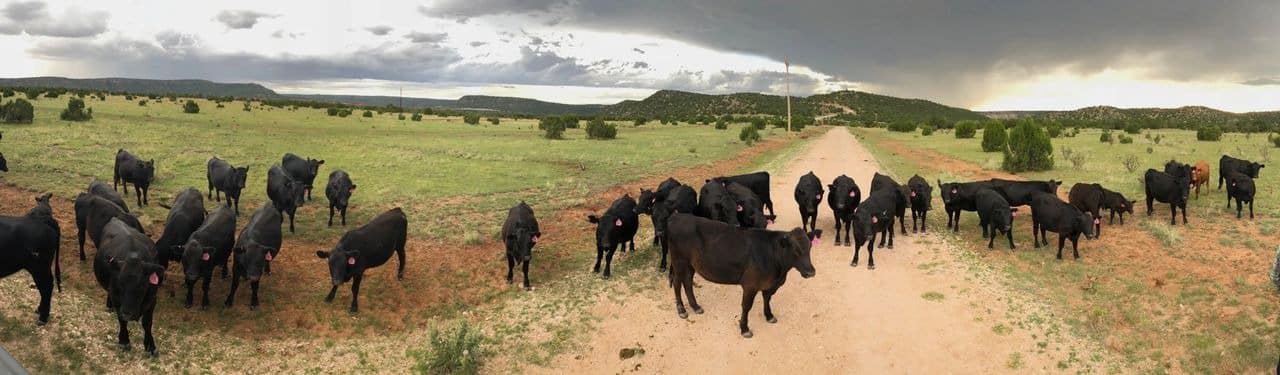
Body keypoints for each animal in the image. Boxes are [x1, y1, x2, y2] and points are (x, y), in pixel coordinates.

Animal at [92, 217, 162, 355]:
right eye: (120, 283)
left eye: (142, 285)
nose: (128, 312)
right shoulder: (117, 298)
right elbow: (121, 320)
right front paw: (124, 341)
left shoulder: (152, 299)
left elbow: (147, 323)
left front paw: (150, 346)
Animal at [665, 211, 814, 337]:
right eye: (796, 250)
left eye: (809, 247)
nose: (811, 272)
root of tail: (676, 216)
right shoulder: (750, 285)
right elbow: (746, 306)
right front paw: (744, 328)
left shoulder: (769, 284)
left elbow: (767, 299)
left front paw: (769, 316)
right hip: (679, 261)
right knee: (677, 282)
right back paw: (681, 310)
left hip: (690, 264)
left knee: (687, 282)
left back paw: (695, 307)